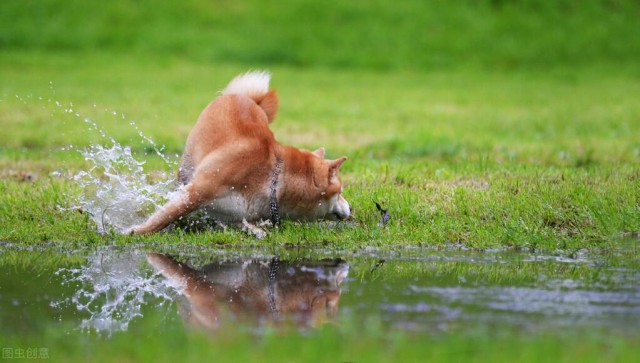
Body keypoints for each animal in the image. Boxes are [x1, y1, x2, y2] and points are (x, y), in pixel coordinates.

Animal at [131, 71, 350, 236]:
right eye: (339, 193)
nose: (351, 208)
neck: (273, 177)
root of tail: (246, 97)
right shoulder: (197, 191)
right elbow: (164, 217)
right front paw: (136, 232)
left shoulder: (235, 212)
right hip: (187, 167)